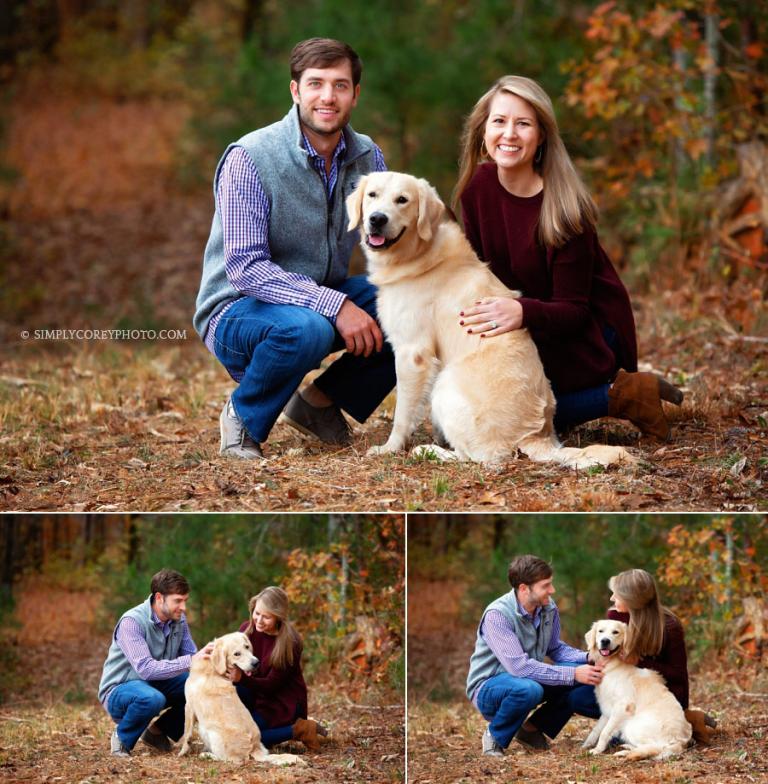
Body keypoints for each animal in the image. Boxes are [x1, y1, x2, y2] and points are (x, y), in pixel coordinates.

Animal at [177, 632, 306, 764]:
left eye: (247, 647)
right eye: (237, 654)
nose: (256, 663)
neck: (213, 666)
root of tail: (254, 748)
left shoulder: (188, 706)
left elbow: (186, 732)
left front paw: (182, 751)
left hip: (209, 731)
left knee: (231, 760)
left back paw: (207, 755)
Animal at [348, 170, 636, 466]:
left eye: (402, 200)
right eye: (372, 195)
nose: (377, 219)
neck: (418, 254)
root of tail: (536, 436)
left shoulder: (412, 353)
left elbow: (403, 413)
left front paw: (390, 448)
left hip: (446, 385)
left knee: (474, 457)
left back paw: (430, 451)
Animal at [584, 620, 688, 760]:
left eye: (616, 632)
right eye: (600, 631)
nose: (605, 641)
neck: (611, 665)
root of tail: (678, 741)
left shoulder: (622, 707)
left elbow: (605, 732)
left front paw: (598, 750)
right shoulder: (607, 708)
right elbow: (597, 729)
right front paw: (588, 744)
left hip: (632, 726)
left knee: (655, 747)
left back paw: (626, 753)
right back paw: (627, 748)